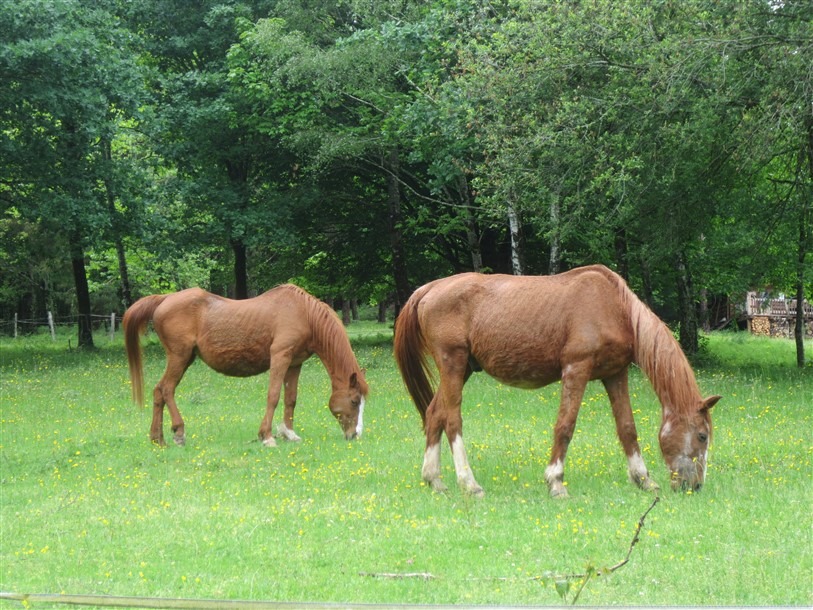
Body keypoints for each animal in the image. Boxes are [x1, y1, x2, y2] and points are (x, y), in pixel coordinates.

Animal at [123, 284, 368, 446]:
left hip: (186, 358)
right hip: (179, 356)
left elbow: (291, 399)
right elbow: (274, 396)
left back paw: (157, 438)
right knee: (166, 389)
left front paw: (289, 433)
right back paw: (178, 432)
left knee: (159, 392)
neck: (303, 313)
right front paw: (267, 437)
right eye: (354, 401)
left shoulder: (294, 363)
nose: (354, 435)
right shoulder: (280, 356)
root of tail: (164, 299)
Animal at [394, 264, 716, 496]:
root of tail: (429, 288)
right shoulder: (576, 368)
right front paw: (556, 481)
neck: (614, 308)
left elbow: (627, 428)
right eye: (702, 435)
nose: (695, 485)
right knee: (451, 419)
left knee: (434, 413)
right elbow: (565, 426)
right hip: (453, 363)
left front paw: (643, 479)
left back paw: (434, 480)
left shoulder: (614, 374)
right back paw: (469, 484)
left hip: (463, 370)